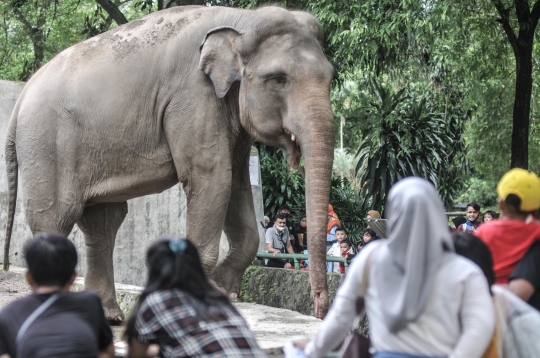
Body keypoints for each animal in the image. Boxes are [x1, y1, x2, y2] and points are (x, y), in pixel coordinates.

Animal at [3, 4, 334, 318]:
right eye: (278, 79)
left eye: (330, 77)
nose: (320, 307)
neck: (242, 20)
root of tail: (20, 101)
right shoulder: (193, 98)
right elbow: (212, 178)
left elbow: (235, 184)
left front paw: (223, 289)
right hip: (46, 145)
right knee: (56, 216)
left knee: (103, 222)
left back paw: (110, 317)